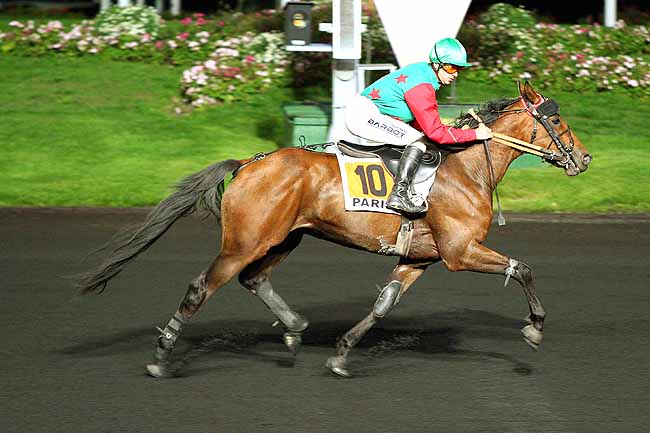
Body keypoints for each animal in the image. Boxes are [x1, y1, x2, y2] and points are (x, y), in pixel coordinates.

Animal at [77, 81, 592, 378]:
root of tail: (247, 163)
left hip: (285, 237)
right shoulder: (460, 251)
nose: (584, 159)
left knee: (254, 279)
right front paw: (535, 327)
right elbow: (522, 268)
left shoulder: (420, 257)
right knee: (202, 287)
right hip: (245, 240)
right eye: (556, 118)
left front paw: (342, 353)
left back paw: (293, 328)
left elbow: (383, 305)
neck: (467, 169)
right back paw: (162, 355)